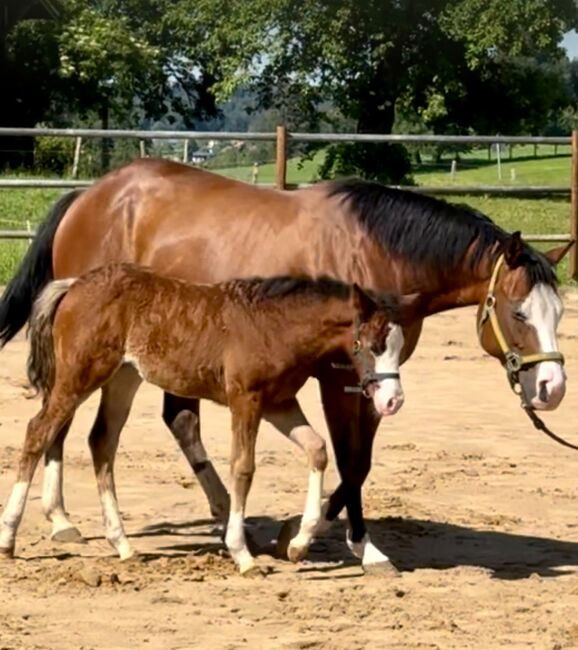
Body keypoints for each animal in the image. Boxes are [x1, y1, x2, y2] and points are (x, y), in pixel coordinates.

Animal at [0, 264, 414, 572]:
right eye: (370, 345)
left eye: (397, 345)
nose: (393, 400)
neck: (275, 325)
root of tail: (73, 285)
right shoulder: (246, 400)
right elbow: (243, 468)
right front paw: (242, 554)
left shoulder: (279, 403)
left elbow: (317, 449)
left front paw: (297, 544)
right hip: (79, 377)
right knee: (39, 431)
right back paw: (9, 537)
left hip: (123, 378)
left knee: (102, 441)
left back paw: (123, 544)